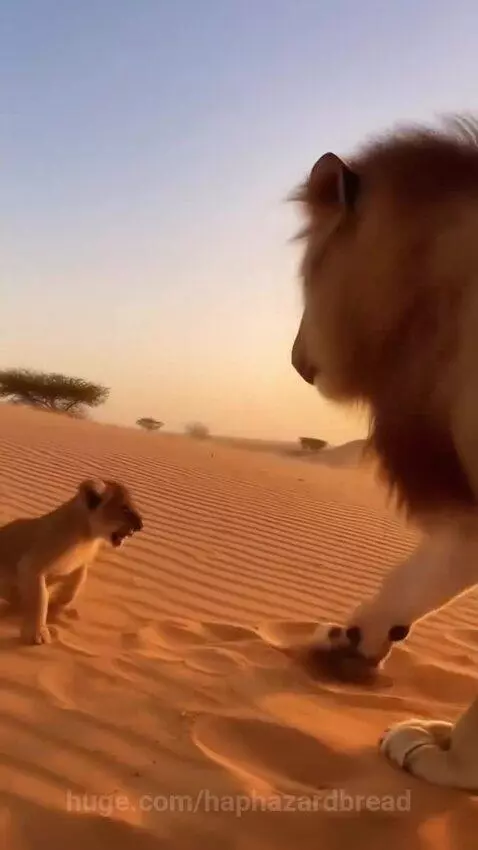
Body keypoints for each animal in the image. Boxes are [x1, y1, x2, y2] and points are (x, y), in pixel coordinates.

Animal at [0, 478, 143, 645]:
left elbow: (74, 586)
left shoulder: (79, 564)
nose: (141, 525)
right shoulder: (31, 565)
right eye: (125, 508)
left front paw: (58, 607)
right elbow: (39, 599)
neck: (88, 537)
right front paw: (38, 633)